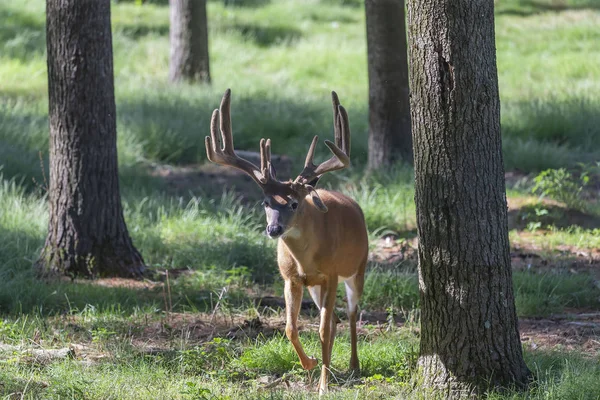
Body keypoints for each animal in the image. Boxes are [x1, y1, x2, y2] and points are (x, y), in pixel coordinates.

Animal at [204, 89, 368, 396]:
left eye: (293, 203)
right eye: (265, 202)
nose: (273, 228)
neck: (306, 259)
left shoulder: (331, 274)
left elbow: (322, 329)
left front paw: (323, 386)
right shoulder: (290, 278)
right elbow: (291, 328)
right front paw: (311, 364)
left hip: (357, 268)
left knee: (351, 313)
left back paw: (353, 365)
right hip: (316, 285)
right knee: (336, 319)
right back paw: (330, 367)